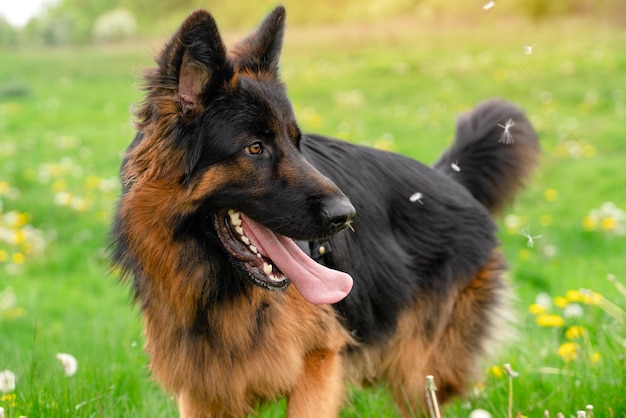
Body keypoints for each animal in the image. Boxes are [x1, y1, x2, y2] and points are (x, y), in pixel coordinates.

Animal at [111, 6, 536, 418]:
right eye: (254, 148)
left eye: (297, 143)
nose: (346, 216)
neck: (218, 292)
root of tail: (450, 179)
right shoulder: (201, 387)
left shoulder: (320, 361)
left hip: (419, 375)